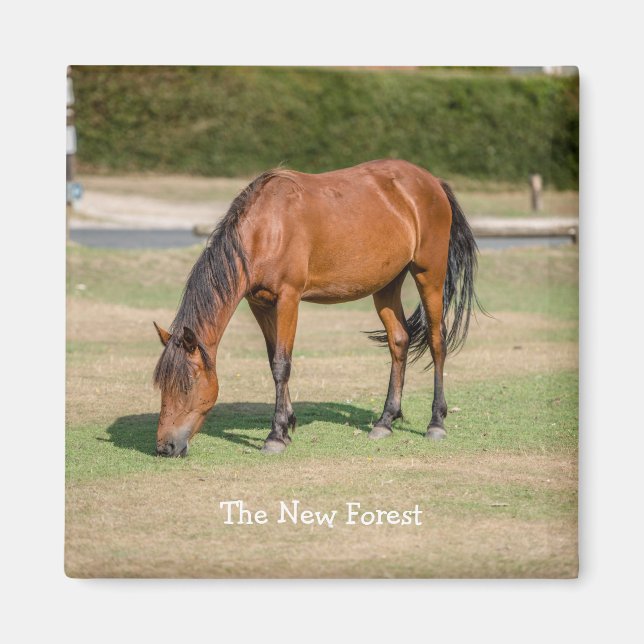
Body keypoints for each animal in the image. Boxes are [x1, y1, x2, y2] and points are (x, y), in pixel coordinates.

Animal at [152, 159, 481, 457]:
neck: (266, 228)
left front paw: (275, 436)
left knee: (437, 341)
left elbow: (282, 364)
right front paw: (287, 426)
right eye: (162, 385)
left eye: (187, 385)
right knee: (399, 340)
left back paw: (436, 423)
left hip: (429, 274)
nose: (165, 447)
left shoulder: (289, 298)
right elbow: (273, 360)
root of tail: (433, 182)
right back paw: (385, 421)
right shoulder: (259, 303)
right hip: (387, 284)